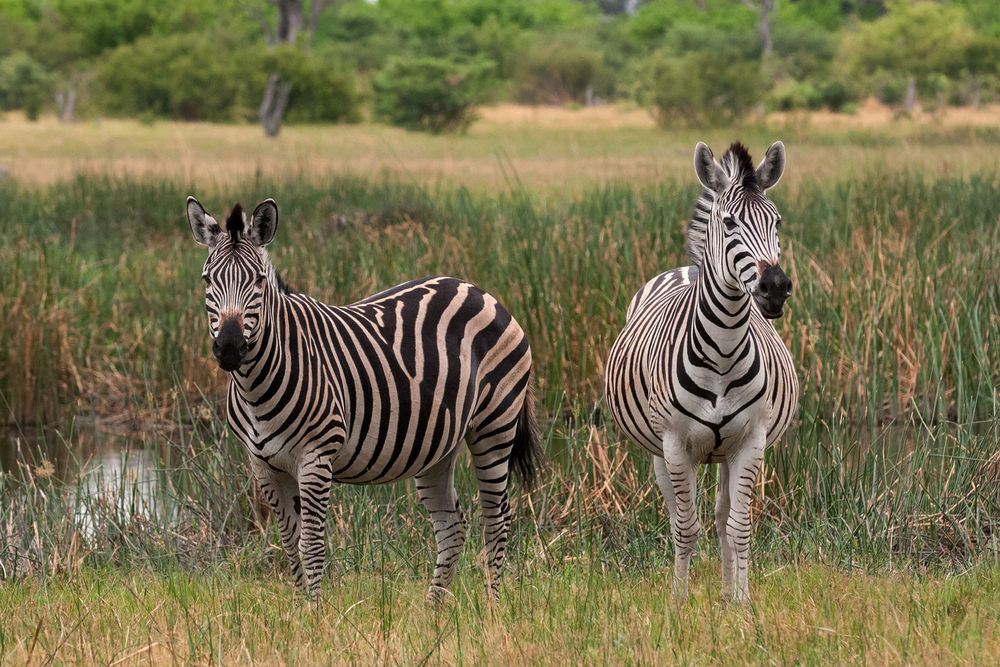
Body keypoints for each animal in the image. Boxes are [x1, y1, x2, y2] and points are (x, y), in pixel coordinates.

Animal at [189, 197, 548, 604]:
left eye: (259, 281)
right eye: (207, 280)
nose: (229, 348)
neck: (257, 387)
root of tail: (477, 290)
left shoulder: (316, 458)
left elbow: (311, 545)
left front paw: (314, 612)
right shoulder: (263, 466)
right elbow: (290, 545)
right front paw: (298, 610)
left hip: (495, 427)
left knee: (497, 518)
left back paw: (491, 606)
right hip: (438, 445)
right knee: (452, 524)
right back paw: (433, 610)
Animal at [604, 142, 800, 604]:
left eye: (777, 222)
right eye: (729, 223)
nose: (775, 288)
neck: (724, 352)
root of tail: (687, 267)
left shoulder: (751, 441)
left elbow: (737, 527)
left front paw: (742, 603)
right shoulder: (675, 445)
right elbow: (685, 528)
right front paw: (678, 601)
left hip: (726, 452)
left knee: (723, 517)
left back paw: (728, 592)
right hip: (659, 452)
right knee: (679, 515)